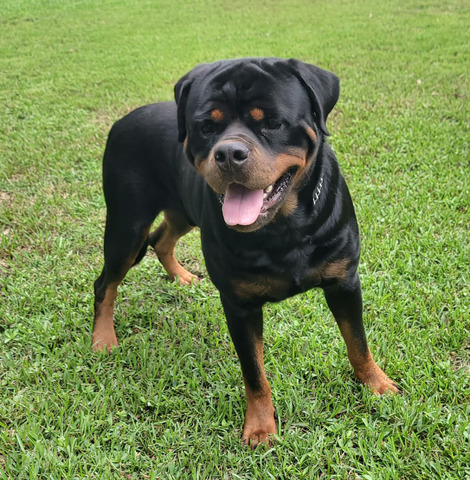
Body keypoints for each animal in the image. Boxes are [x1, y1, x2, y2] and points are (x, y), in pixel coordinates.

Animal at [92, 58, 399, 448]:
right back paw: (103, 338)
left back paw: (181, 276)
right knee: (106, 282)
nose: (228, 153)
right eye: (207, 127)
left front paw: (376, 384)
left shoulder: (344, 281)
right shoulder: (239, 305)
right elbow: (253, 371)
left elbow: (357, 341)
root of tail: (122, 120)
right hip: (127, 225)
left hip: (181, 211)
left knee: (162, 239)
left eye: (272, 122)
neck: (284, 227)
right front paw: (260, 426)